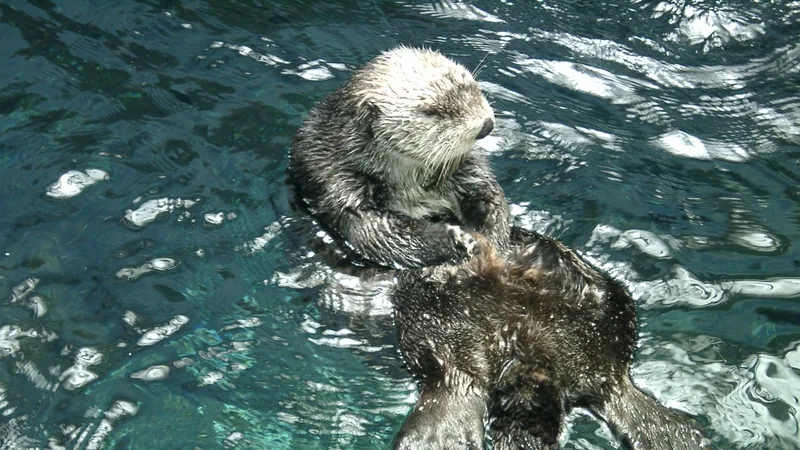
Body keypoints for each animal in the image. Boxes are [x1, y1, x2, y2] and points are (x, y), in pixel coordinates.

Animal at [288, 46, 509, 269]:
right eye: (431, 112)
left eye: (472, 85)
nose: (486, 125)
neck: (412, 183)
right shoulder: (342, 187)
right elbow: (379, 235)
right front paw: (458, 240)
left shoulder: (467, 168)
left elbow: (491, 196)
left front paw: (493, 235)